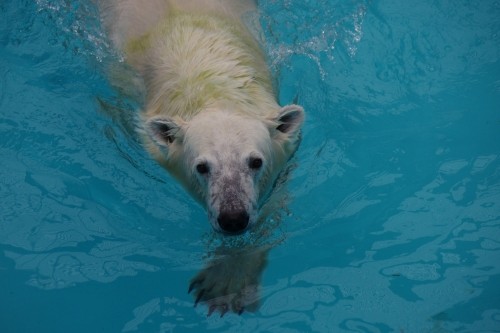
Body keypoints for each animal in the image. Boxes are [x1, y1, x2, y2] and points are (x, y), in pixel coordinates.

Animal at [95, 0, 302, 314]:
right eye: (201, 167)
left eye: (256, 162)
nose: (233, 219)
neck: (215, 92)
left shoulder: (284, 157)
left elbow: (271, 210)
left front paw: (228, 282)